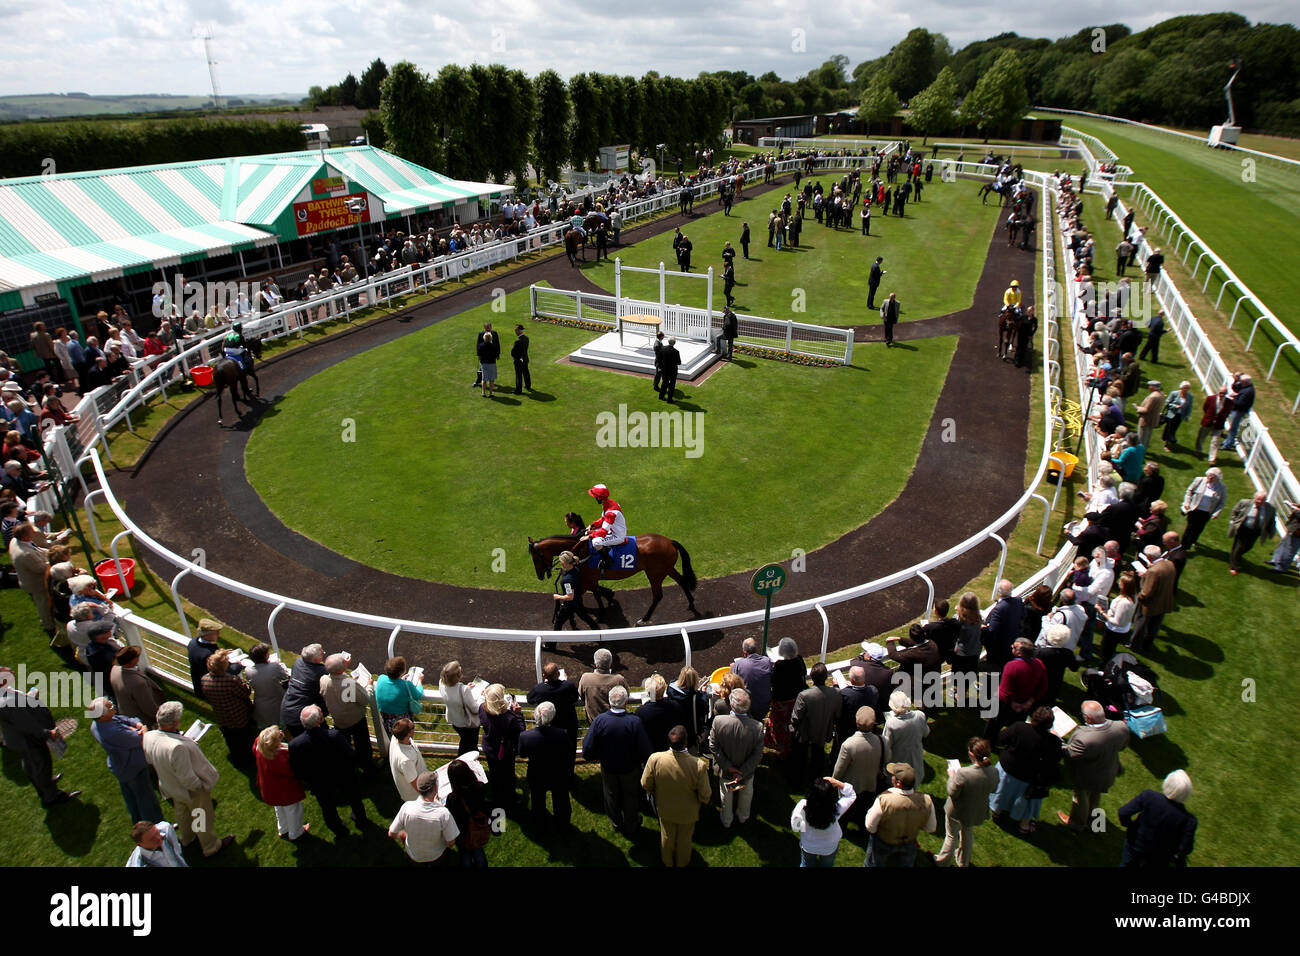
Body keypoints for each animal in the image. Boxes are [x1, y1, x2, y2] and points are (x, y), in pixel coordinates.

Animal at [525, 512, 696, 624]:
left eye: (535, 558)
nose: (540, 576)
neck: (579, 549)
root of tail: (669, 541)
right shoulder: (588, 580)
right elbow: (595, 592)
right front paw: (606, 600)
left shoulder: (587, 580)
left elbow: (592, 594)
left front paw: (600, 612)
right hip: (666, 569)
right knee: (682, 581)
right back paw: (691, 605)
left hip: (655, 574)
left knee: (658, 595)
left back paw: (644, 618)